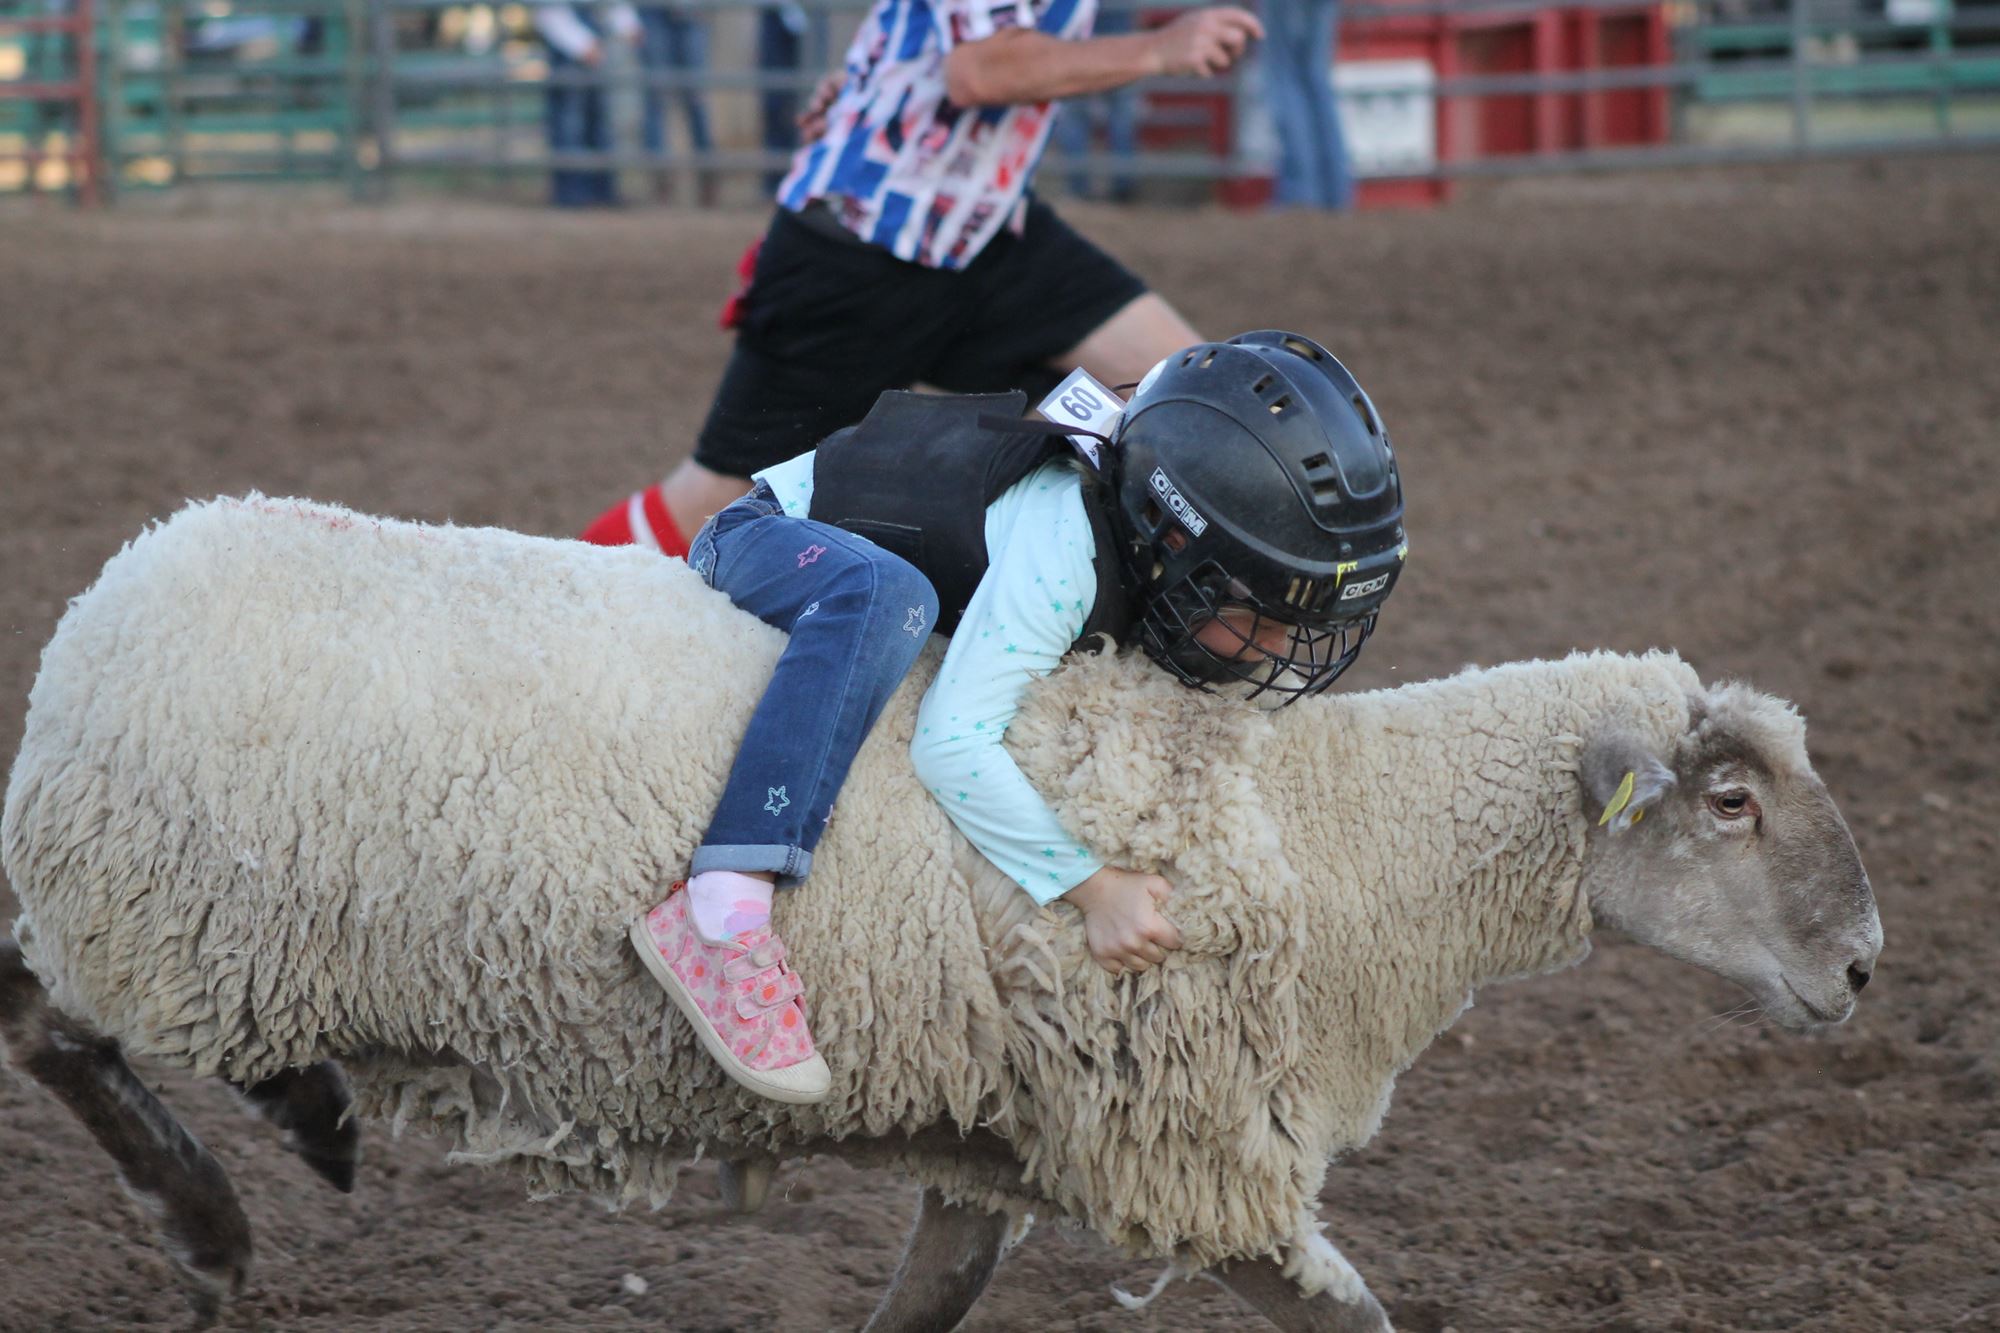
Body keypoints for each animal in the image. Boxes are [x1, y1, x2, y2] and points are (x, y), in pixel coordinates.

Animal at [0, 492, 1880, 1320]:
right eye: (1729, 801)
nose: (1865, 968)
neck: (1331, 836)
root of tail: (115, 593)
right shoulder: (1192, 1157)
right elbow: (1352, 1316)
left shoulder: (1014, 1144)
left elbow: (925, 1303)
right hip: (167, 918)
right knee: (48, 1025)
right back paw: (226, 1202)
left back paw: (285, 1137)